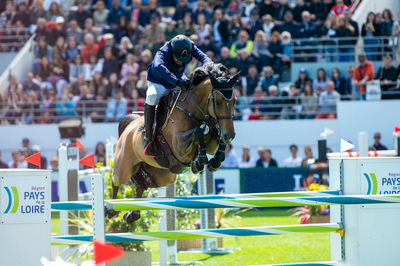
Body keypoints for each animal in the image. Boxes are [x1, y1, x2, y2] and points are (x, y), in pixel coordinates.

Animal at [108, 62, 239, 222]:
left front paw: (212, 162)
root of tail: (129, 126)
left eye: (234, 101)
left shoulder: (212, 141)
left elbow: (215, 140)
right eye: (218, 102)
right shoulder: (179, 146)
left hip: (163, 176)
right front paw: (200, 161)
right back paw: (110, 209)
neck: (193, 110)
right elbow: (198, 132)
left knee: (141, 185)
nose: (230, 135)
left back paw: (132, 214)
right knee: (116, 182)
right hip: (124, 167)